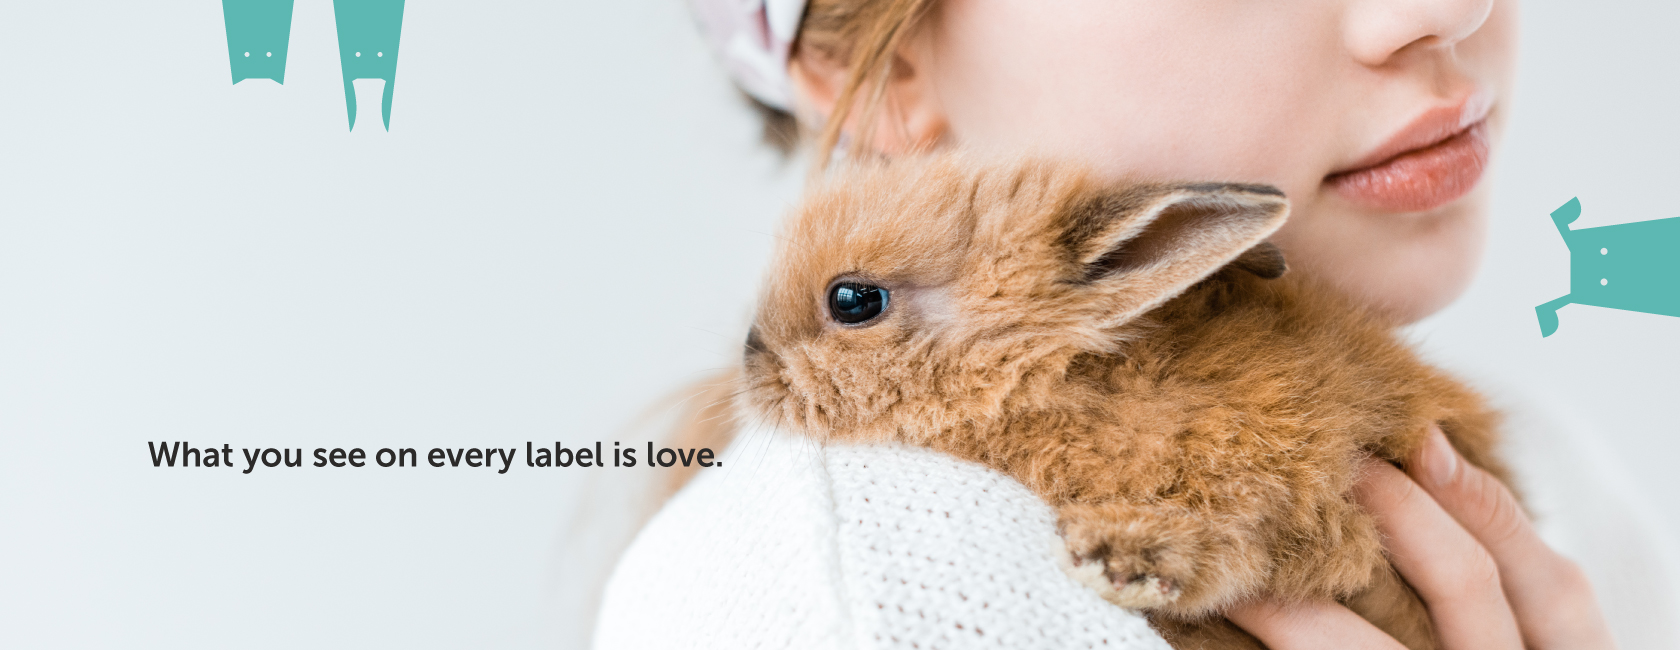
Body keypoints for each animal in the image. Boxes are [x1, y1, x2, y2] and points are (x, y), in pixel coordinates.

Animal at [735, 153, 1512, 650]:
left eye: (853, 301)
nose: (750, 358)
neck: (1063, 379)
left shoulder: (1290, 483)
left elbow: (1241, 543)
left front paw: (1119, 557)